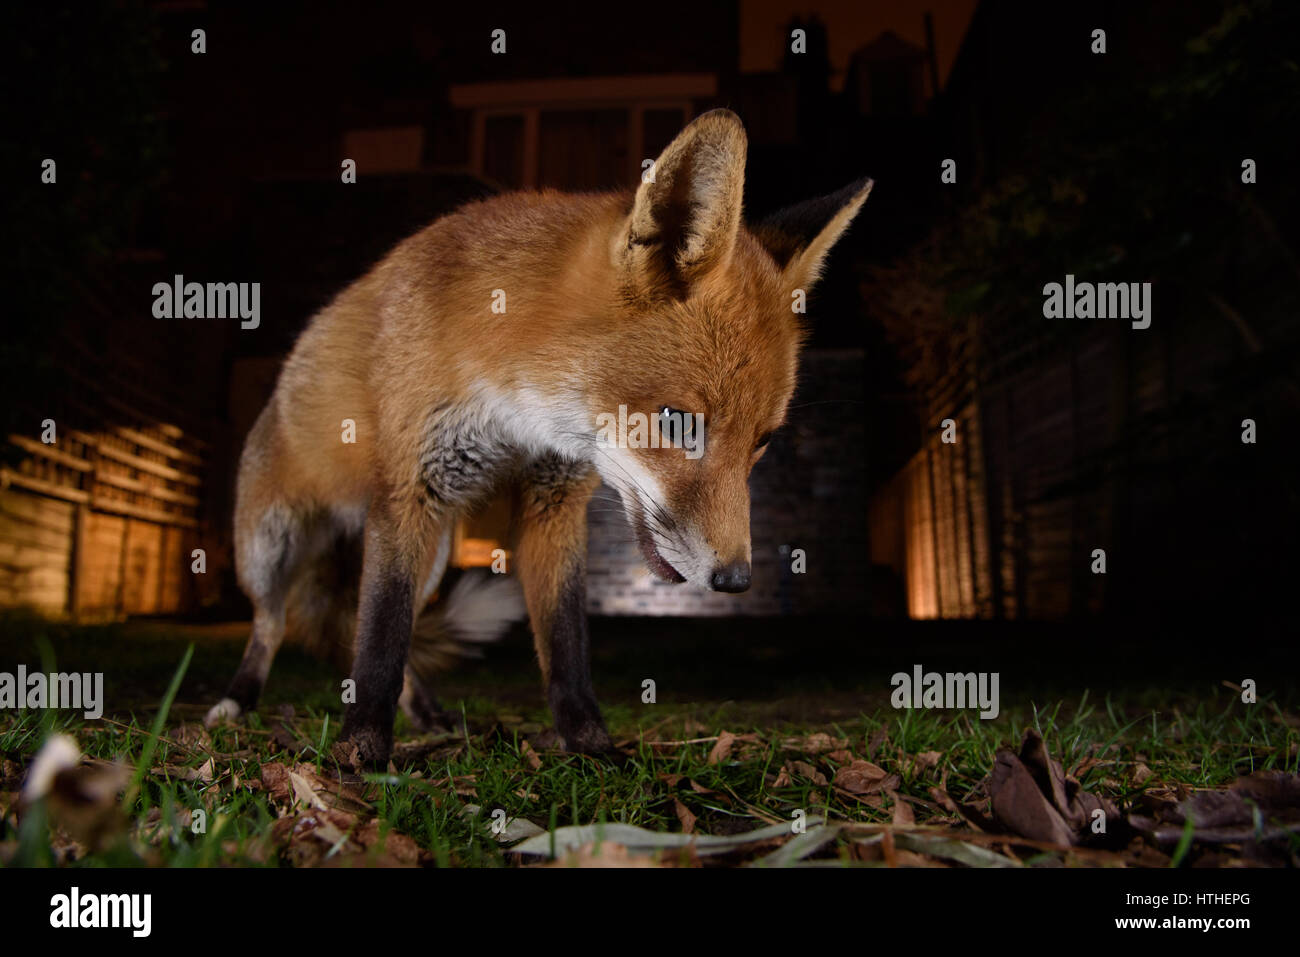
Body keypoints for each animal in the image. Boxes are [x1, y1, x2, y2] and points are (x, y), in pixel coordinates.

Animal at [205, 108, 873, 764]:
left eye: (763, 441)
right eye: (678, 422)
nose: (735, 581)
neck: (515, 413)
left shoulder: (553, 501)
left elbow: (564, 642)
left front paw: (592, 748)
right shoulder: (410, 490)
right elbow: (380, 639)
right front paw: (360, 751)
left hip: (430, 556)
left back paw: (425, 712)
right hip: (271, 545)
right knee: (275, 623)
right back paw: (239, 700)